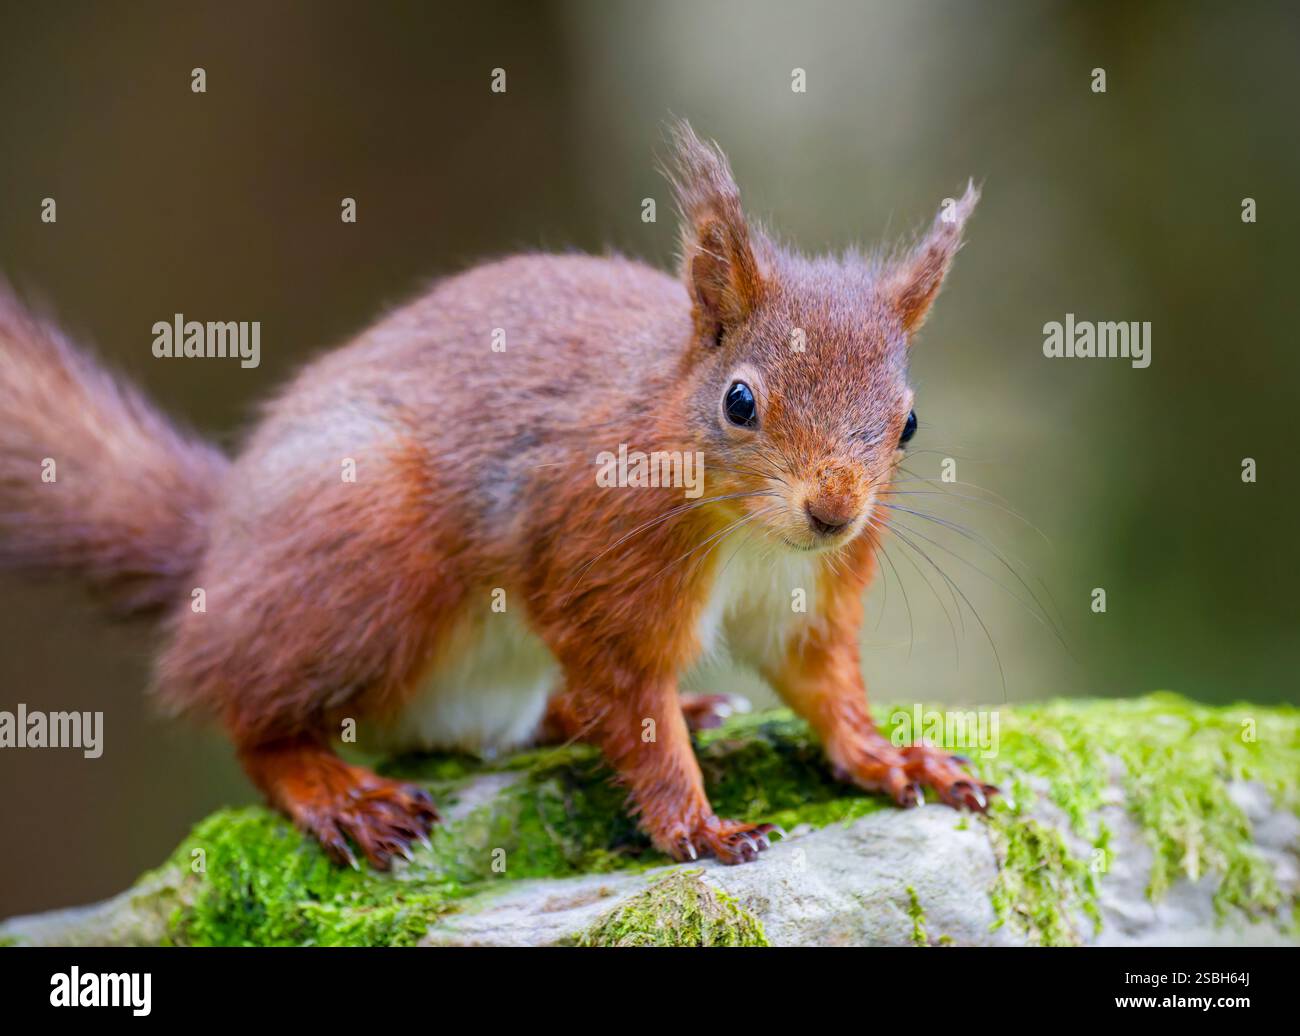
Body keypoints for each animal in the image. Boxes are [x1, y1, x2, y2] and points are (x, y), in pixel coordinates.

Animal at [0, 121, 993, 869]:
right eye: (740, 401)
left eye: (907, 422)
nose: (833, 511)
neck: (746, 531)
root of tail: (219, 550)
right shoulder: (596, 562)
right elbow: (634, 707)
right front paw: (697, 824)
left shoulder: (803, 596)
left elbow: (822, 683)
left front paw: (890, 755)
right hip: (360, 546)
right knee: (245, 705)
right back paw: (336, 791)